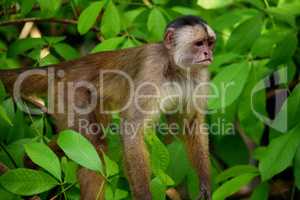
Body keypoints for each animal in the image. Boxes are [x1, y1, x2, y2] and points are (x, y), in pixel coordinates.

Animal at [0, 16, 216, 200]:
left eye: (210, 43)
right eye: (199, 44)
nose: (208, 54)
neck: (175, 68)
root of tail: (68, 66)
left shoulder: (199, 75)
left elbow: (190, 123)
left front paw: (205, 183)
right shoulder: (152, 66)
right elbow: (131, 128)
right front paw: (144, 195)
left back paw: (28, 163)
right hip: (69, 92)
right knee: (94, 145)